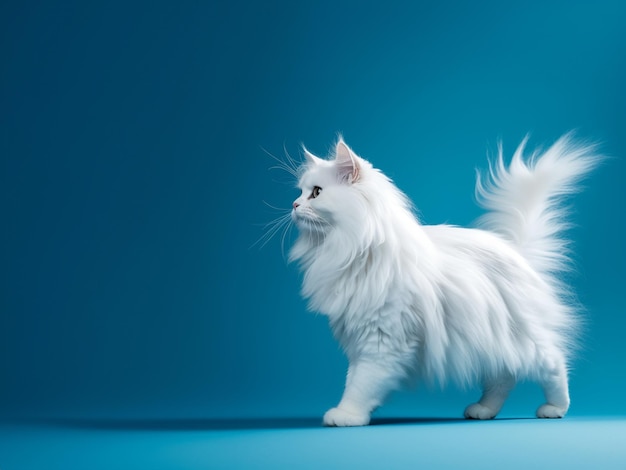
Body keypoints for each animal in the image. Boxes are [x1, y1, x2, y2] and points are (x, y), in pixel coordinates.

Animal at [286, 134, 596, 428]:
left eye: (316, 193)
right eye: (300, 191)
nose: (294, 204)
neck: (352, 249)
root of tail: (515, 251)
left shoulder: (383, 340)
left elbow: (362, 383)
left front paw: (347, 414)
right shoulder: (360, 338)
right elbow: (357, 379)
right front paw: (358, 412)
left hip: (523, 339)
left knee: (554, 363)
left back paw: (555, 408)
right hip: (494, 340)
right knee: (504, 377)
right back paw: (483, 410)